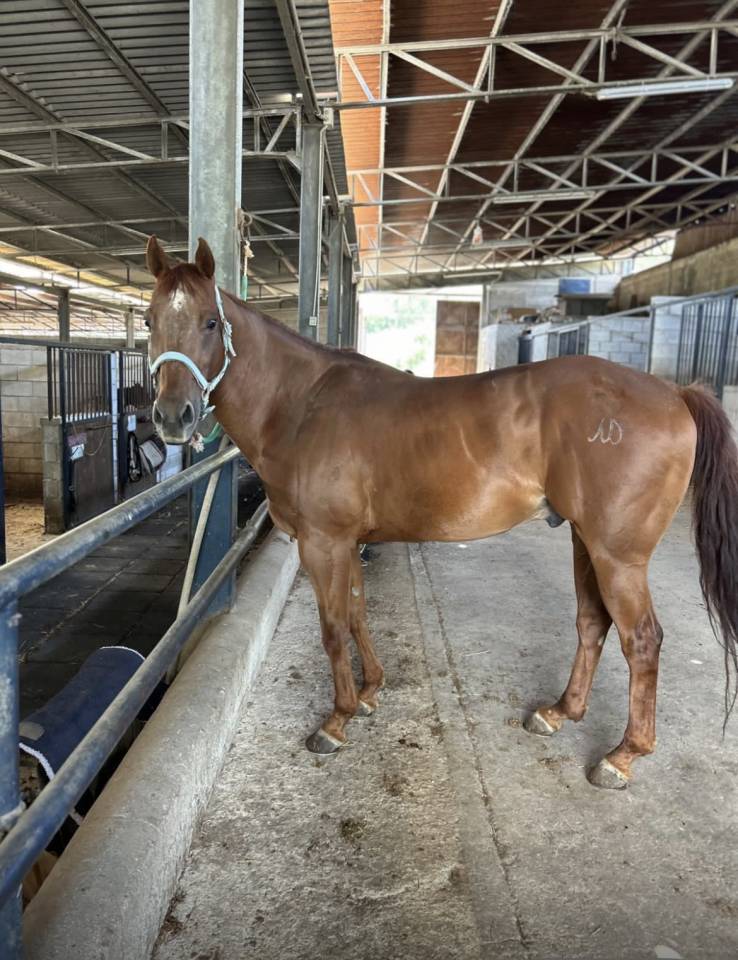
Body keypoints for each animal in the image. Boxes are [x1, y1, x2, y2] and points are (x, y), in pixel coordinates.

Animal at [144, 235, 738, 791]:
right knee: (593, 622)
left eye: (210, 321)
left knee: (642, 641)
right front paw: (370, 692)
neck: (301, 405)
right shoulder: (346, 541)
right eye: (150, 320)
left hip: (618, 555)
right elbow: (357, 613)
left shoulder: (323, 542)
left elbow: (333, 627)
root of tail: (674, 393)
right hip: (585, 541)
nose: (174, 417)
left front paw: (336, 721)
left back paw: (622, 756)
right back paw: (559, 713)